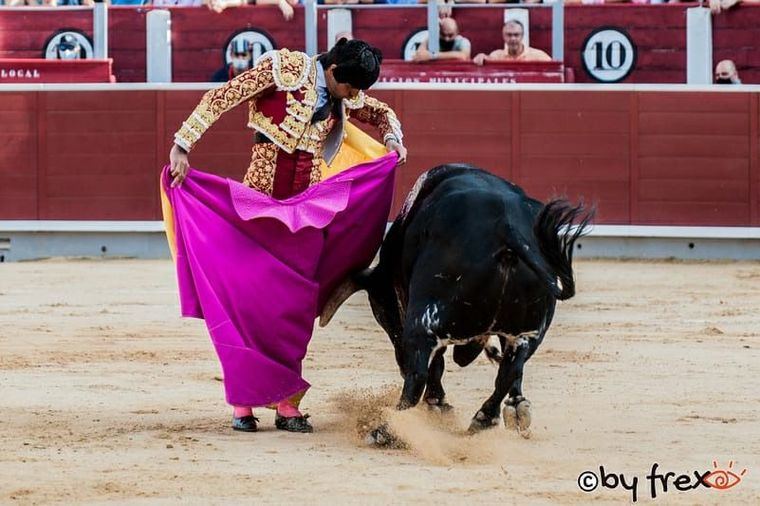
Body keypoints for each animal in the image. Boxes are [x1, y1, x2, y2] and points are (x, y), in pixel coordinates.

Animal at [320, 166, 592, 438]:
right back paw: (485, 418)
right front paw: (517, 407)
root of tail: (507, 226)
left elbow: (436, 364)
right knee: (510, 368)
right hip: (529, 330)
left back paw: (386, 429)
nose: (400, 362)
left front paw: (437, 403)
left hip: (425, 320)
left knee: (419, 374)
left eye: (381, 312)